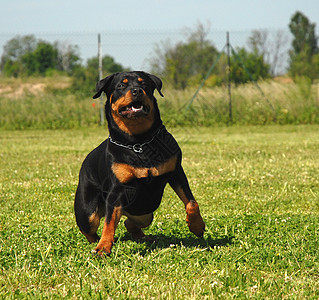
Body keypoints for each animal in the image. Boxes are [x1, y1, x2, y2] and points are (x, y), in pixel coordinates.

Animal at [74, 71, 206, 255]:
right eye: (121, 85)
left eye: (144, 84)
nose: (137, 91)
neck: (138, 142)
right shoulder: (117, 189)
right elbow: (108, 222)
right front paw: (103, 247)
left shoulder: (176, 172)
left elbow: (192, 202)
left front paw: (197, 226)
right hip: (87, 211)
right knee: (90, 228)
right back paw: (96, 243)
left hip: (145, 213)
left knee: (129, 222)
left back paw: (144, 237)